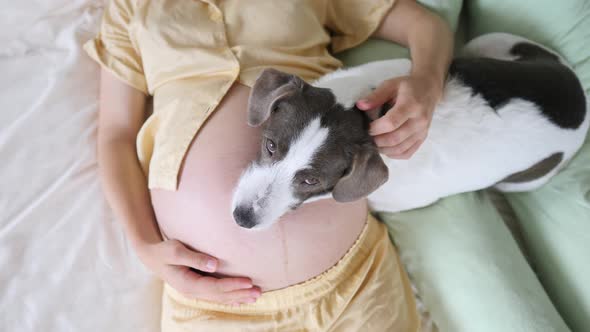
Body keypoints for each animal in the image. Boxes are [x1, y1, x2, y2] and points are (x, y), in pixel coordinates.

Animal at [234, 34, 588, 231]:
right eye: (269, 146)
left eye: (311, 181)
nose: (242, 217)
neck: (365, 119)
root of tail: (581, 98)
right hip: (490, 41)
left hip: (522, 181)